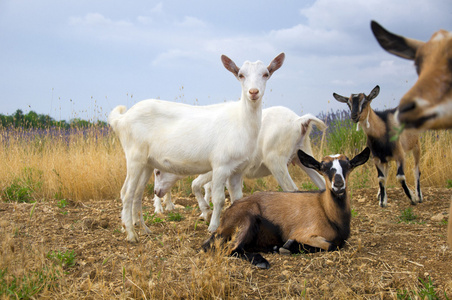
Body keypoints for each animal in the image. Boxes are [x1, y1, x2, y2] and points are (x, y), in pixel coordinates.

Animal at [107, 53, 284, 241]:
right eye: (241, 75)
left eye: (266, 74)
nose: (253, 92)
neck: (240, 120)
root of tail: (121, 119)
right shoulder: (220, 165)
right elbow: (219, 199)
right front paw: (213, 227)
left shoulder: (238, 170)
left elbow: (238, 199)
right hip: (134, 156)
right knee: (126, 193)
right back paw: (131, 234)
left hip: (146, 162)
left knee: (137, 193)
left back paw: (144, 228)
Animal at [154, 106, 326, 218]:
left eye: (158, 171)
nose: (156, 191)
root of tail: (300, 121)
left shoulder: (216, 168)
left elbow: (196, 184)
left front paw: (206, 212)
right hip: (302, 155)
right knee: (322, 183)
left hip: (276, 161)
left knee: (292, 189)